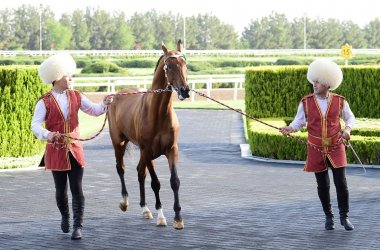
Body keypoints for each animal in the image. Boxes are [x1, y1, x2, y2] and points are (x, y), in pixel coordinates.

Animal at [107, 40, 189, 229]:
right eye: (169, 66)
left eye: (185, 64)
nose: (185, 90)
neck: (158, 114)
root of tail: (116, 95)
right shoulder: (148, 151)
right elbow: (155, 183)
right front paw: (161, 216)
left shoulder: (172, 150)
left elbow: (174, 181)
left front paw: (178, 218)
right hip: (118, 142)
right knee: (121, 168)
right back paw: (125, 201)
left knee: (139, 172)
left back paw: (145, 208)